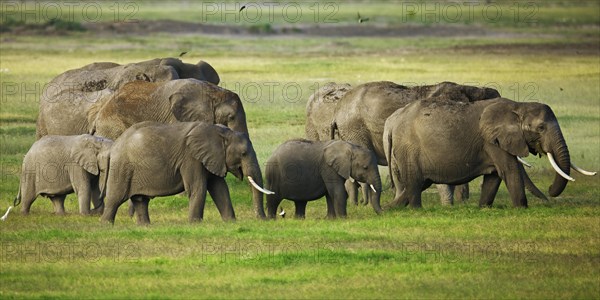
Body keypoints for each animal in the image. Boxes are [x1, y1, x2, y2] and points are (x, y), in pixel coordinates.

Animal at [101, 120, 272, 224]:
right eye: (243, 153)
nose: (264, 219)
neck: (220, 132)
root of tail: (113, 146)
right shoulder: (191, 158)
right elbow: (198, 188)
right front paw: (195, 224)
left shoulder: (211, 158)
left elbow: (220, 189)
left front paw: (230, 222)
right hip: (121, 168)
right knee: (115, 198)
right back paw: (106, 225)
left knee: (140, 200)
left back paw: (146, 226)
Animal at [384, 96, 596, 209]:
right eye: (541, 128)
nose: (550, 191)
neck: (518, 105)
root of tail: (392, 122)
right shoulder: (493, 141)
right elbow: (509, 171)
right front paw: (521, 208)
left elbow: (494, 177)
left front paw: (484, 208)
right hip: (408, 148)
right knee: (415, 182)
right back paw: (415, 210)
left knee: (419, 183)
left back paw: (390, 209)